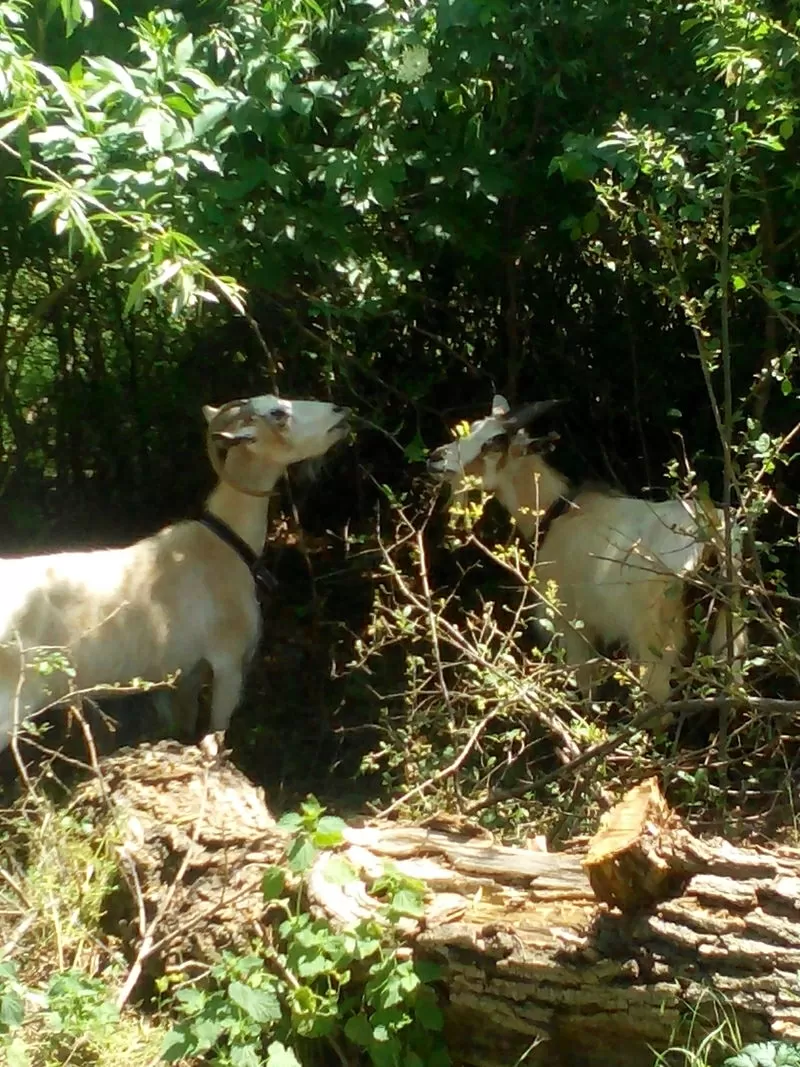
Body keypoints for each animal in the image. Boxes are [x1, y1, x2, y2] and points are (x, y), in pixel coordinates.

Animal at [0, 396, 349, 755]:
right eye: (277, 414)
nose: (340, 412)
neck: (222, 545)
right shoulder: (227, 663)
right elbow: (216, 737)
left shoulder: (183, 677)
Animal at [428, 396, 750, 704]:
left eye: (493, 443)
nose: (435, 458)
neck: (557, 513)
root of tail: (709, 538)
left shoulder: (573, 627)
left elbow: (587, 692)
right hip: (729, 634)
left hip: (656, 639)